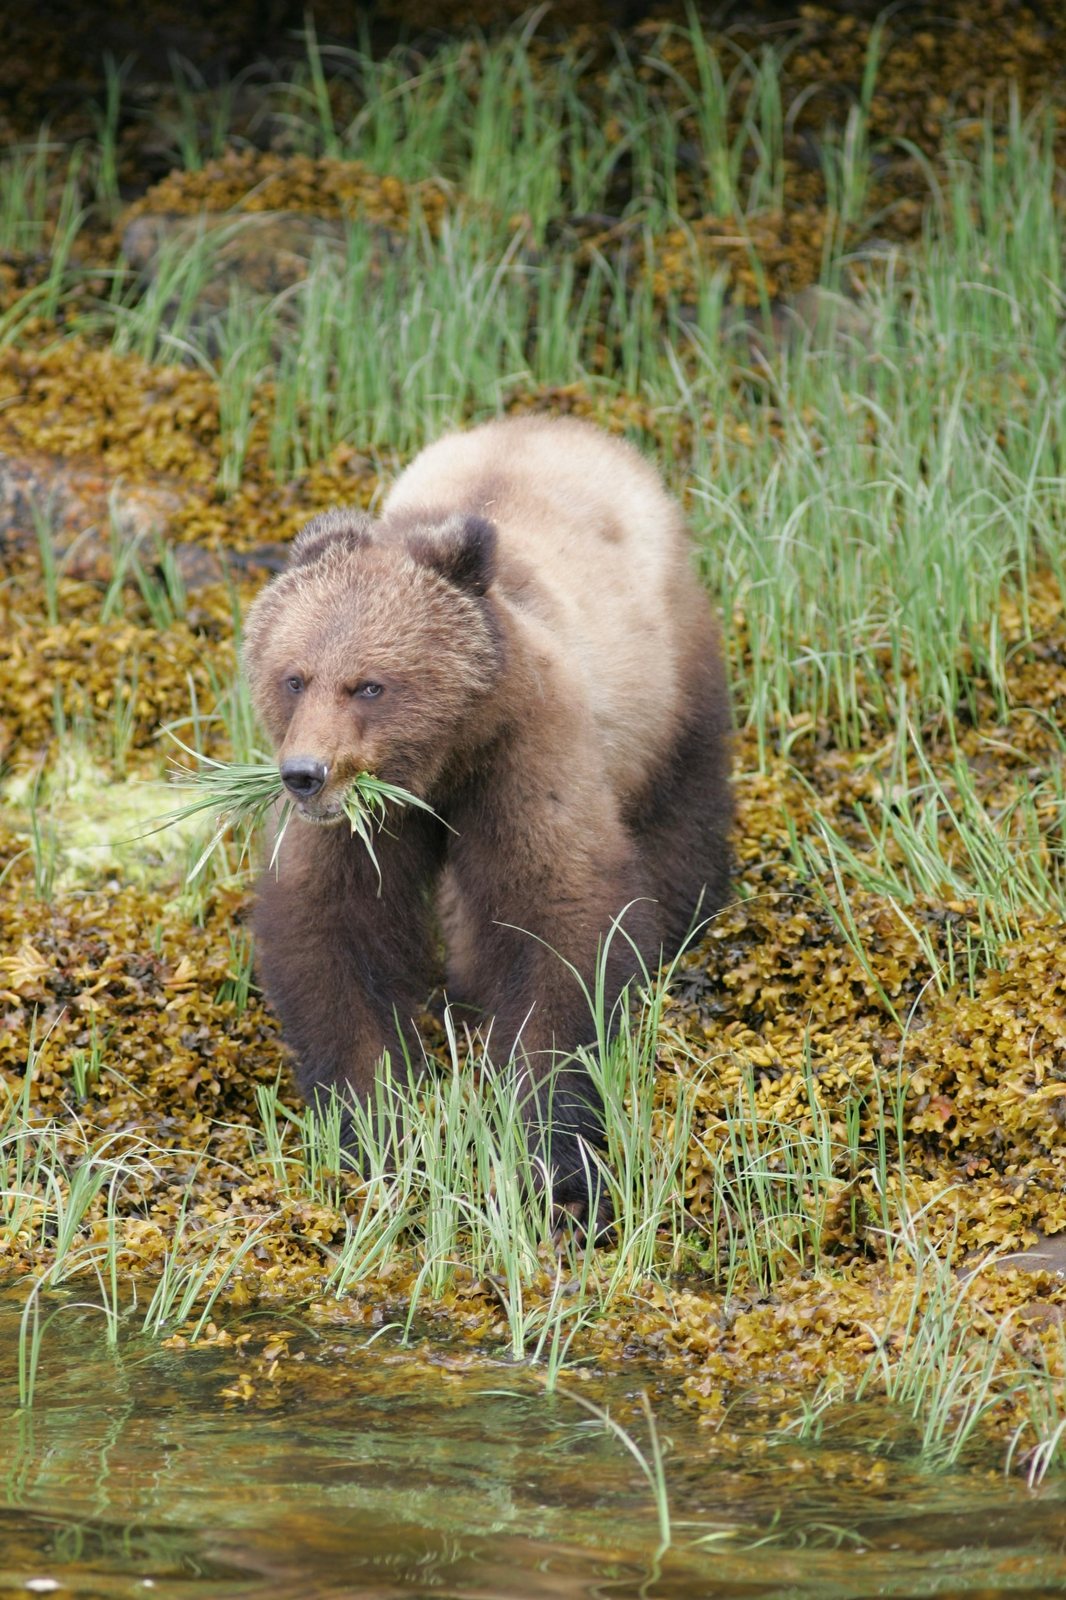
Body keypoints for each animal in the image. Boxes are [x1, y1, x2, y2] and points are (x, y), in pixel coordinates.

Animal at [243, 414, 732, 1223]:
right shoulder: (366, 824)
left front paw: (553, 1153)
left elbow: (560, 912)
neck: (440, 765)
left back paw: (686, 912)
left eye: (369, 684)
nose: (305, 774)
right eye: (294, 676)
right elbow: (331, 924)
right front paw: (373, 1120)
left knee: (682, 800)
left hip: (666, 674)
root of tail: (562, 423)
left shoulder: (524, 754)